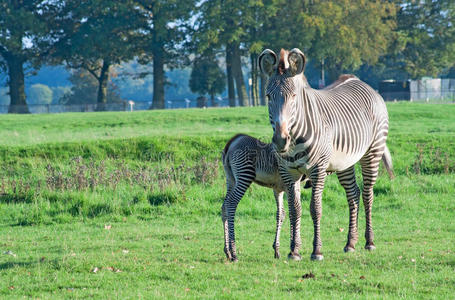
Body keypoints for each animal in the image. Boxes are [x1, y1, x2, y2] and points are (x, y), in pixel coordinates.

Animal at [258, 48, 394, 260]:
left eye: (294, 96)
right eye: (268, 96)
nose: (280, 140)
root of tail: (359, 81)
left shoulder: (318, 169)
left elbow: (316, 208)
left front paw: (316, 251)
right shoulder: (289, 172)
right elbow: (295, 209)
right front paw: (294, 251)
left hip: (373, 151)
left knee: (367, 194)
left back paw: (369, 242)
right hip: (345, 162)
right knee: (353, 193)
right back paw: (350, 243)